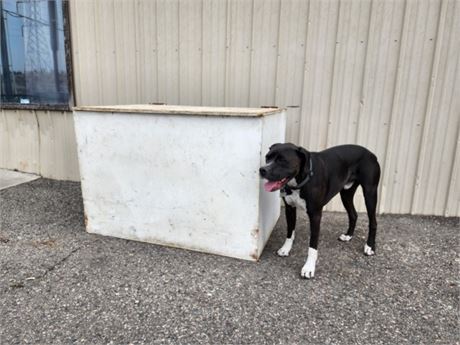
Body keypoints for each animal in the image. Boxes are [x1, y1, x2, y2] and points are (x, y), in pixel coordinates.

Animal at [258, 142, 380, 276]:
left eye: (282, 160)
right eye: (267, 157)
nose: (262, 170)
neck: (301, 181)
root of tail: (371, 153)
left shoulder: (315, 215)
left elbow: (313, 244)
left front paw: (309, 267)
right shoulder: (290, 209)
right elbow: (290, 232)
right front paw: (286, 249)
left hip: (370, 193)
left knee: (373, 222)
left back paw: (370, 246)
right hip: (346, 194)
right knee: (353, 214)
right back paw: (348, 235)